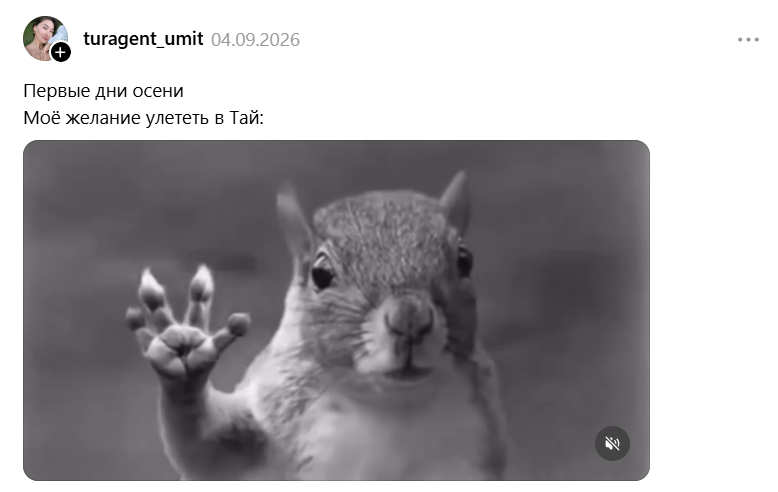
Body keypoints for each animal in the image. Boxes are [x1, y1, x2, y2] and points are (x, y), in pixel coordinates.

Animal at [125, 171, 509, 480]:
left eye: (465, 260)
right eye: (320, 274)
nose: (410, 318)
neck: (391, 406)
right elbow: (206, 447)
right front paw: (185, 356)